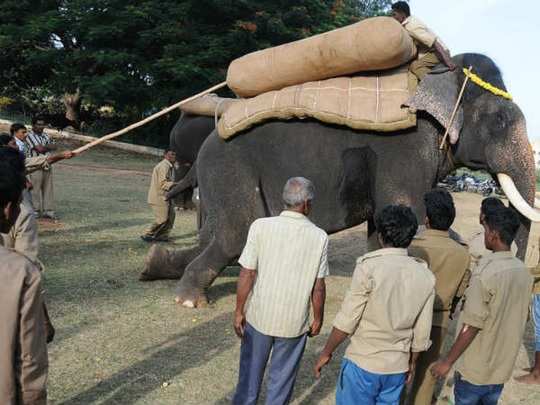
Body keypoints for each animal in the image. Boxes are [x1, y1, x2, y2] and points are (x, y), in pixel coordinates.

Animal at [141, 52, 536, 306]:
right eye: (500, 120)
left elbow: (385, 223)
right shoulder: (405, 148)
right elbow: (412, 215)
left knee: (217, 235)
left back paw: (153, 265)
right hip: (229, 167)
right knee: (234, 236)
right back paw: (190, 301)